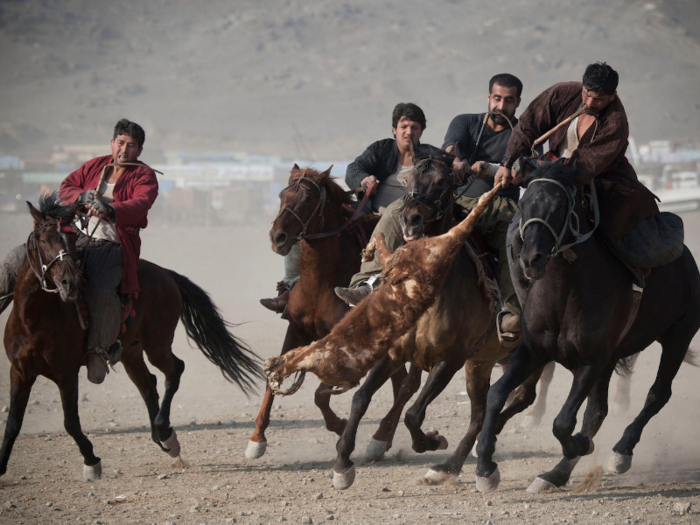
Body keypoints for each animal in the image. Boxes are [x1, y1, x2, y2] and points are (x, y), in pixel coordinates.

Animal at [0, 195, 262, 478]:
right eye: (44, 240)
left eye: (69, 240)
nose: (70, 283)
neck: (33, 320)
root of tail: (166, 274)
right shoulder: (20, 372)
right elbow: (13, 423)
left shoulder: (66, 373)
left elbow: (70, 422)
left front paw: (91, 460)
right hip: (130, 351)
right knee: (148, 384)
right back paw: (163, 438)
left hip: (157, 344)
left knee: (174, 370)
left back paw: (164, 431)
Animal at [246, 165, 422, 458]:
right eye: (282, 195)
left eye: (307, 199)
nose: (278, 237)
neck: (320, 283)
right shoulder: (296, 330)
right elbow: (273, 377)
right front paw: (257, 438)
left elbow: (321, 393)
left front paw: (340, 426)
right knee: (401, 382)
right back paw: (384, 439)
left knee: (409, 384)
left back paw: (381, 438)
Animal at [470, 163, 700, 492]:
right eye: (525, 205)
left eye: (559, 206)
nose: (531, 259)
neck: (565, 293)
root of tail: (688, 262)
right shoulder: (533, 352)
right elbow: (497, 394)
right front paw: (485, 465)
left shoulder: (592, 361)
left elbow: (563, 422)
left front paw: (581, 444)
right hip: (613, 360)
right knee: (597, 411)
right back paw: (554, 474)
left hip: (677, 337)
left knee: (657, 394)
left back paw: (620, 451)